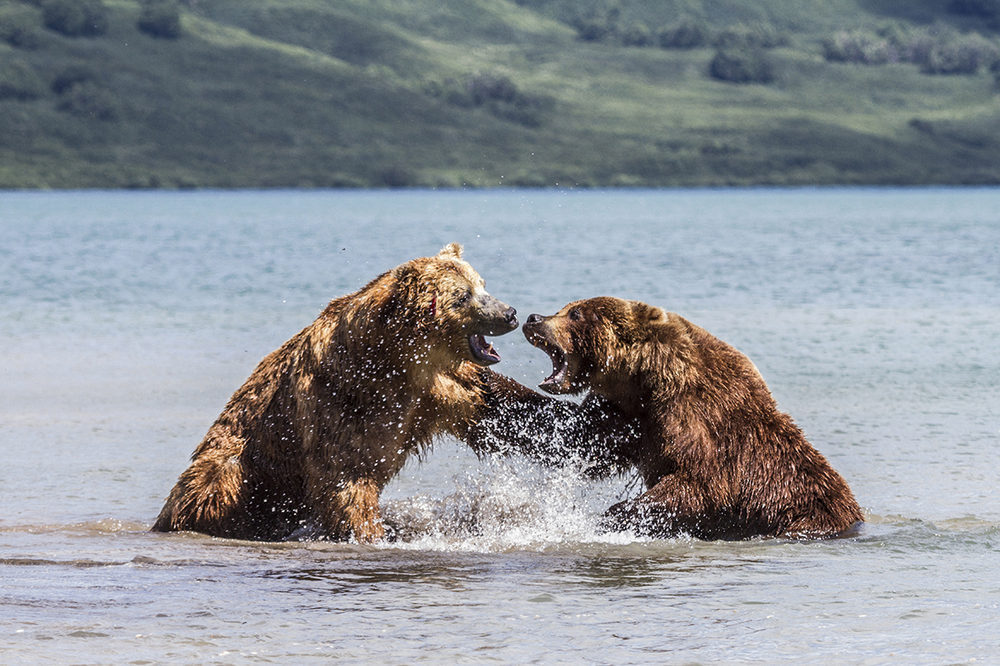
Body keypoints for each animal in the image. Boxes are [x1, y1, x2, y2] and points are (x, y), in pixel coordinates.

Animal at [153, 241, 524, 544]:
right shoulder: (341, 399)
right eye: (463, 296)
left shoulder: (436, 389)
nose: (509, 313)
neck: (394, 361)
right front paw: (371, 534)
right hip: (233, 473)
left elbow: (495, 405)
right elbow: (347, 478)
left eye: (482, 284)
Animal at [512, 296, 864, 540]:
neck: (646, 380)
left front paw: (615, 514)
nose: (533, 318)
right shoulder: (628, 415)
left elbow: (700, 482)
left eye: (575, 312)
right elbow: (578, 439)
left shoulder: (695, 418)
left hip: (803, 512)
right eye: (564, 307)